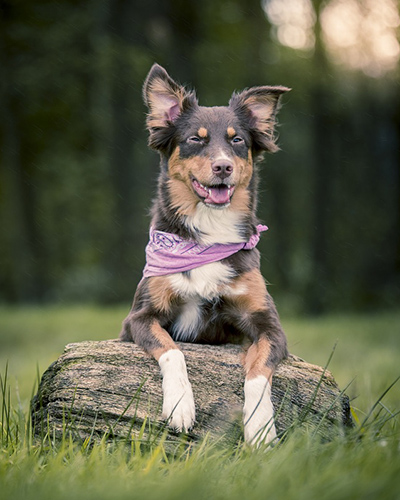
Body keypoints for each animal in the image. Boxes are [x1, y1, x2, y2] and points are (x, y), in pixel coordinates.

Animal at [120, 63, 290, 446]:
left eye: (237, 140)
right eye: (195, 140)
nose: (223, 167)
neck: (208, 233)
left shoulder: (268, 325)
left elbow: (259, 372)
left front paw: (260, 427)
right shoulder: (139, 317)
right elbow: (172, 350)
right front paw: (180, 405)